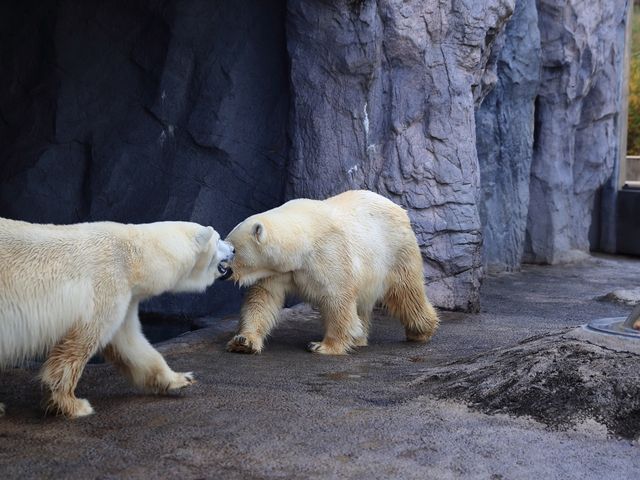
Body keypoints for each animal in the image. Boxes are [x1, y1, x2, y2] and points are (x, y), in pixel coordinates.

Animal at [0, 219, 235, 418]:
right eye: (218, 239)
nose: (233, 249)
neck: (134, 257)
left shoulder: (127, 295)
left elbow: (131, 343)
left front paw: (181, 379)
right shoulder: (107, 284)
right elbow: (81, 343)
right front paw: (74, 405)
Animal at [225, 189, 440, 354]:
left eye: (232, 249)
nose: (224, 270)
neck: (302, 243)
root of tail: (399, 208)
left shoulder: (329, 253)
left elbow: (337, 299)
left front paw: (322, 346)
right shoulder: (277, 269)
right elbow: (263, 297)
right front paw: (243, 341)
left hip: (396, 251)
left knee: (406, 293)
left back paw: (421, 331)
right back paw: (359, 339)